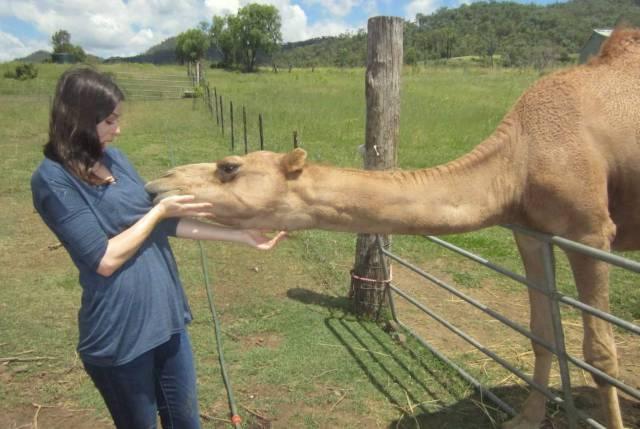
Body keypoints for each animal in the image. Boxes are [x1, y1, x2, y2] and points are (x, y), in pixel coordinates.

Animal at [146, 28, 640, 426]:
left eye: (229, 167)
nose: (157, 184)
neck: (517, 162)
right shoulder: (529, 230)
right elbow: (541, 334)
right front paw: (526, 419)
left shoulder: (590, 231)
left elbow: (602, 355)